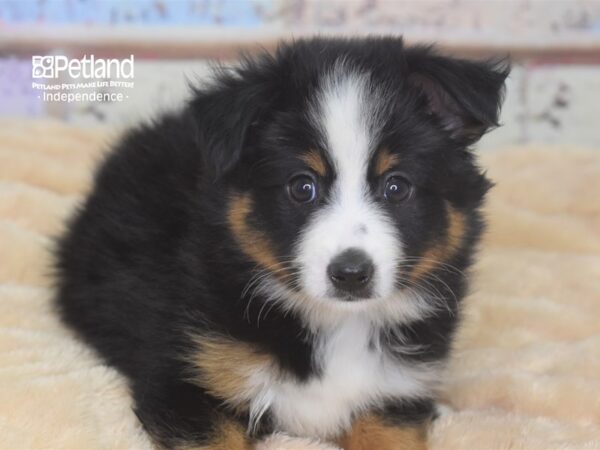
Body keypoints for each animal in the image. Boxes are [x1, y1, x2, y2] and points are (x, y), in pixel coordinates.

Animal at [55, 37, 506, 450]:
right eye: (302, 187)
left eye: (397, 187)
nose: (351, 274)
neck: (335, 325)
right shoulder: (185, 379)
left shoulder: (396, 395)